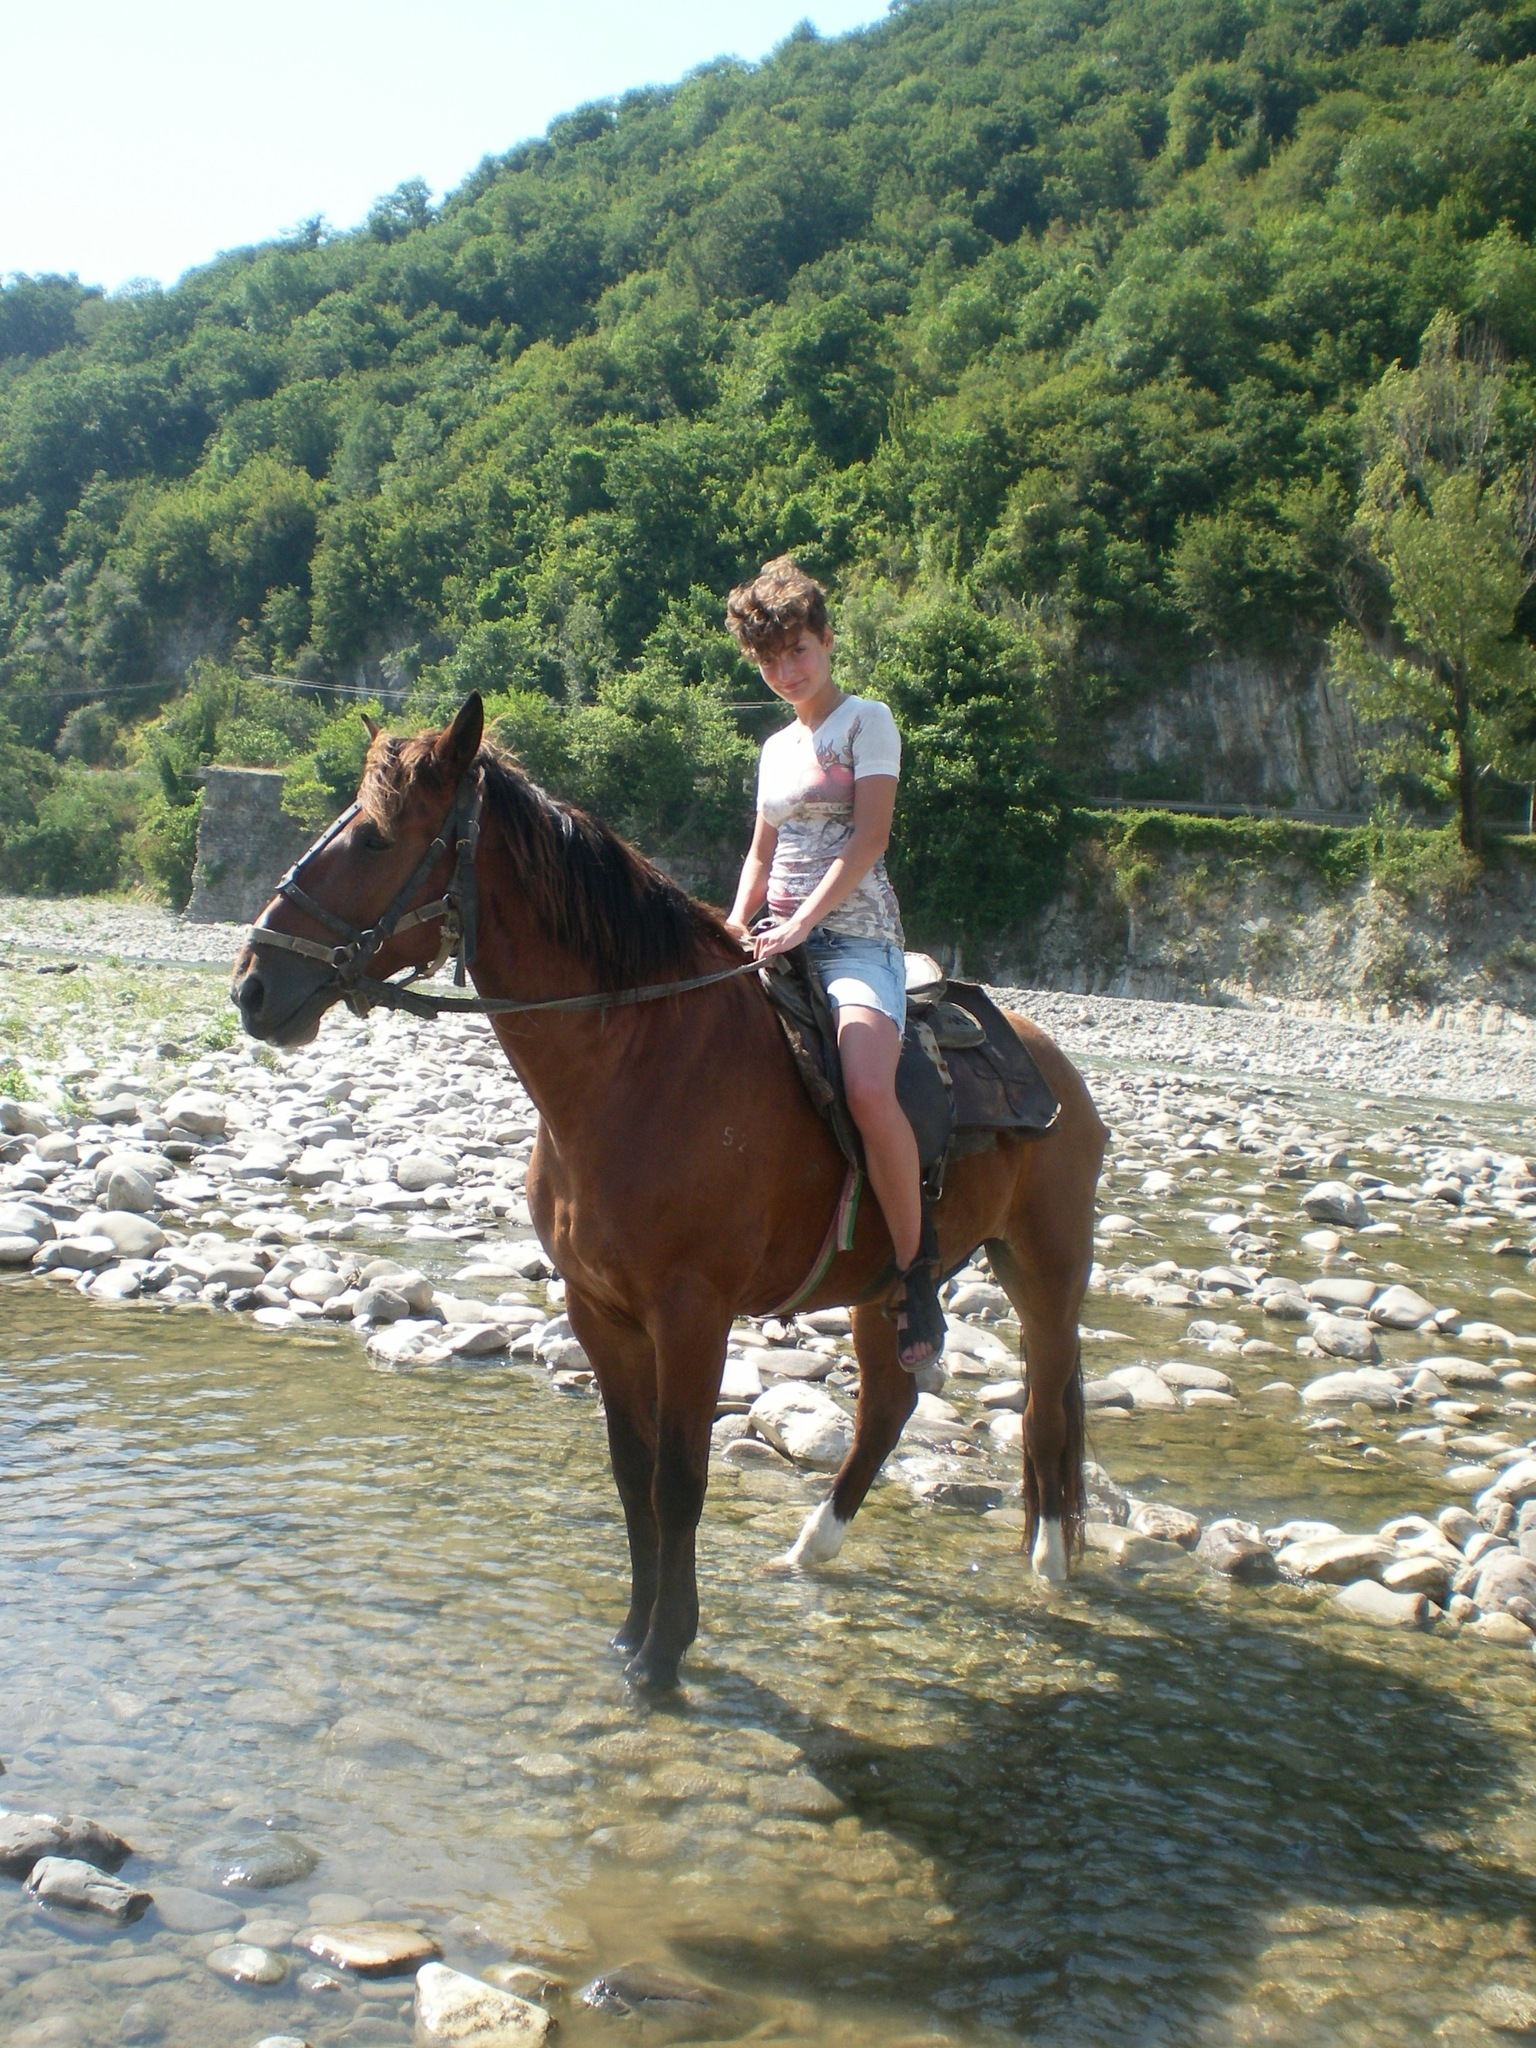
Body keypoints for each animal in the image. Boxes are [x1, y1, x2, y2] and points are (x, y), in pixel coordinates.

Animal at [231, 694, 1107, 1690]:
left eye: (376, 837)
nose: (253, 987)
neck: (639, 1066)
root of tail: (1051, 1062)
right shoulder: (598, 1311)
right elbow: (630, 1473)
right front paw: (630, 1630)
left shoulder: (692, 1315)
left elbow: (680, 1480)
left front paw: (664, 1653)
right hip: (882, 1289)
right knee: (889, 1407)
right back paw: (811, 1550)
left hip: (1044, 1271)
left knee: (1045, 1410)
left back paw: (1049, 1563)